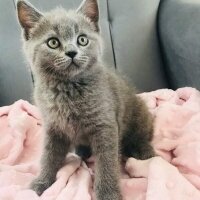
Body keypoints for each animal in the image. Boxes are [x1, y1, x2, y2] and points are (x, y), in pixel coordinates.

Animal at [16, 0, 155, 199]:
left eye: (82, 39)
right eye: (53, 42)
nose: (72, 52)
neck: (67, 89)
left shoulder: (105, 125)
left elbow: (106, 162)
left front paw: (108, 193)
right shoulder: (53, 126)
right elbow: (48, 155)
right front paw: (41, 183)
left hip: (140, 113)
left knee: (143, 135)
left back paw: (144, 151)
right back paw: (82, 151)